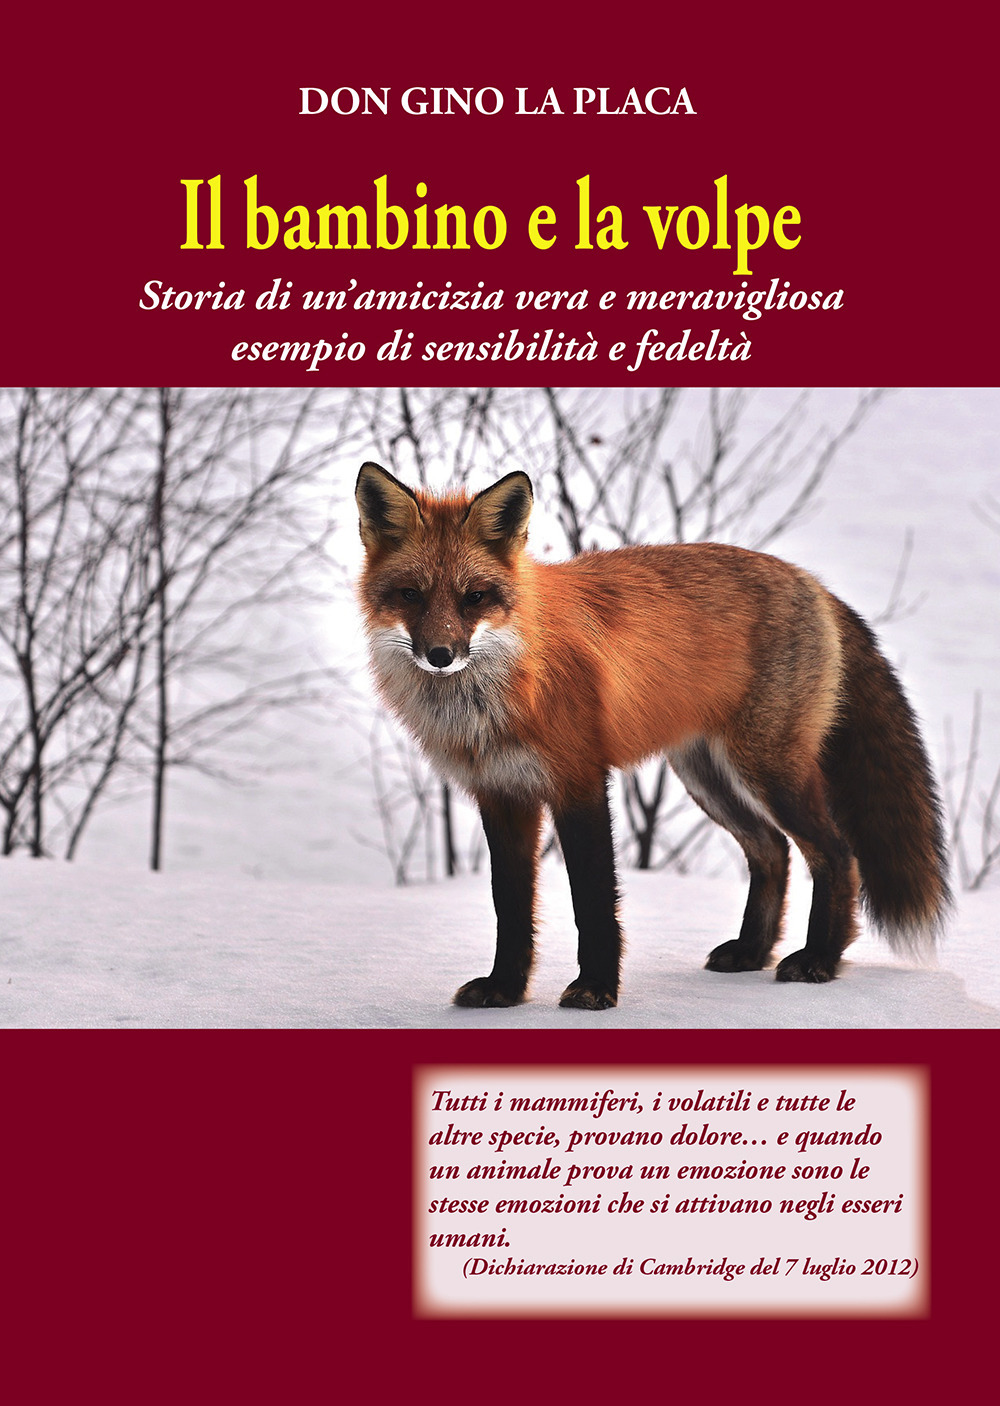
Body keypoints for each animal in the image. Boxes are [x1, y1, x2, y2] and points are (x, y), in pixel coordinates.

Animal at [355, 460, 950, 1011]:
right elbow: (511, 906)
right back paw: (752, 952)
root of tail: (812, 582)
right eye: (410, 595)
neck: (503, 688)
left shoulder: (579, 782)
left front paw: (596, 989)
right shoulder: (501, 794)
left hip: (768, 770)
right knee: (772, 850)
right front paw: (505, 989)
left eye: (474, 597)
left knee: (837, 853)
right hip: (707, 776)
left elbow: (593, 900)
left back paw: (820, 959)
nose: (440, 655)